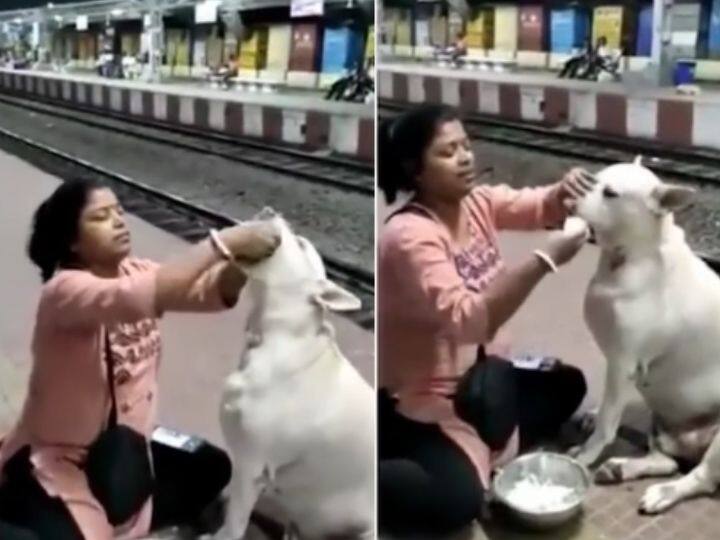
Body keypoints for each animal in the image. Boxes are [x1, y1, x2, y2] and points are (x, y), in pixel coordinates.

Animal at [572, 157, 720, 516]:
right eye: (595, 178)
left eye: (610, 193)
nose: (572, 189)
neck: (630, 255)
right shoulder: (618, 366)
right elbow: (608, 408)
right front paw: (593, 417)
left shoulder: (623, 364)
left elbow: (608, 422)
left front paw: (586, 455)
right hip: (663, 420)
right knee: (667, 460)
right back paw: (622, 468)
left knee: (700, 477)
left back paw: (664, 493)